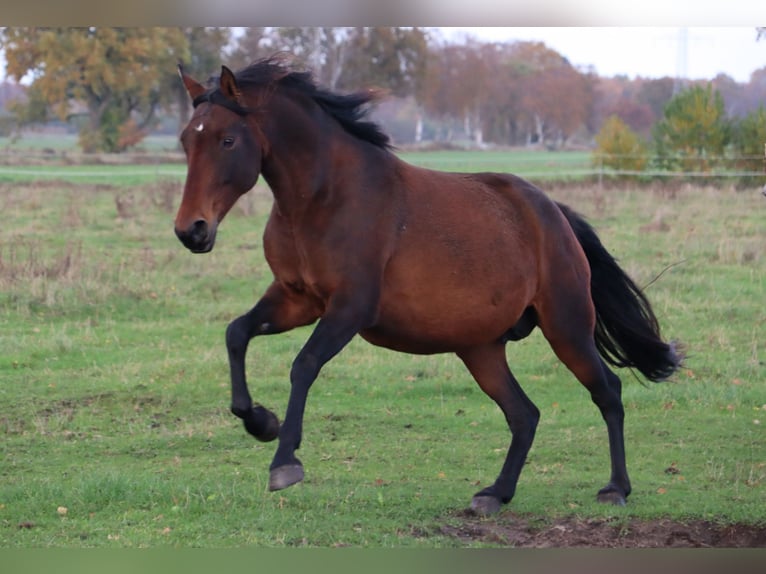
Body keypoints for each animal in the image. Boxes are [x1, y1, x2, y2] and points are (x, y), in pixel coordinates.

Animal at [174, 57, 681, 515]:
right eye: (185, 140)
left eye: (227, 139)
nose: (191, 231)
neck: (324, 199)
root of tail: (554, 214)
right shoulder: (296, 299)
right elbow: (237, 333)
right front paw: (260, 421)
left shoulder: (349, 308)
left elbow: (304, 365)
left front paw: (284, 461)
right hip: (481, 349)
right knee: (524, 415)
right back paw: (494, 495)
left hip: (567, 328)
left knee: (607, 392)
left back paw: (615, 488)